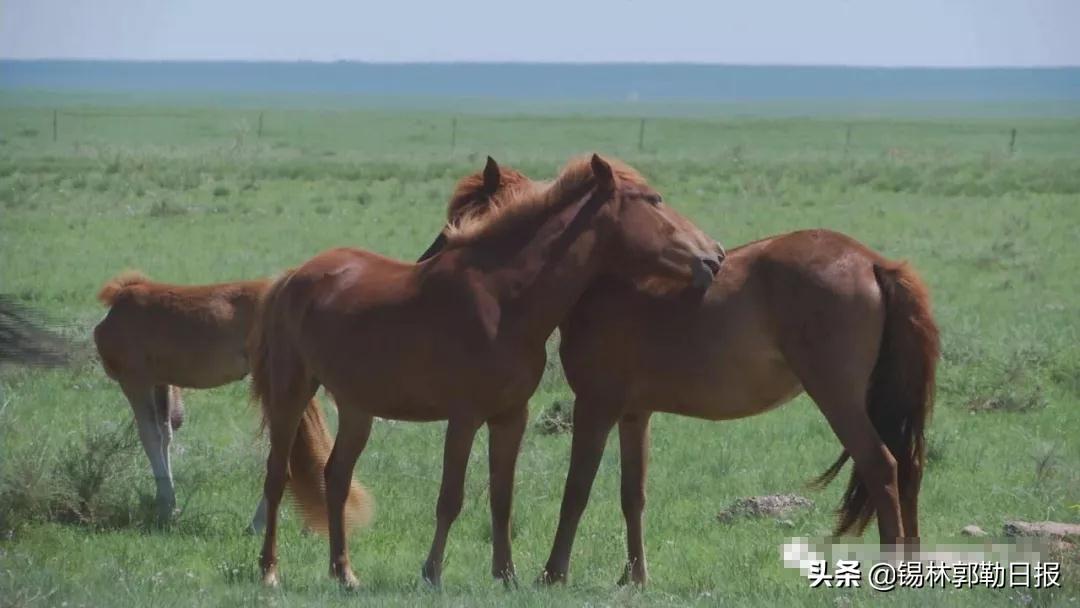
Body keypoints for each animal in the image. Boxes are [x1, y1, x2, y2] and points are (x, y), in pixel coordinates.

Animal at [250, 153, 725, 591]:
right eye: (654, 200)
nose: (714, 256)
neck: (504, 299)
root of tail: (291, 277)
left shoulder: (510, 417)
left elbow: (501, 497)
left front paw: (506, 575)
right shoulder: (464, 418)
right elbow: (451, 497)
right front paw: (432, 574)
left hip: (357, 407)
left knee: (336, 477)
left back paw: (344, 573)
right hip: (291, 392)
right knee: (276, 477)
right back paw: (269, 571)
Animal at [416, 159, 941, 587]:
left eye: (468, 212)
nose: (428, 260)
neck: (602, 280)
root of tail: (873, 262)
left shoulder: (595, 406)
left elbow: (576, 490)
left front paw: (553, 573)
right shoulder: (634, 415)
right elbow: (633, 495)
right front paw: (634, 577)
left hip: (839, 399)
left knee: (882, 466)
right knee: (909, 468)